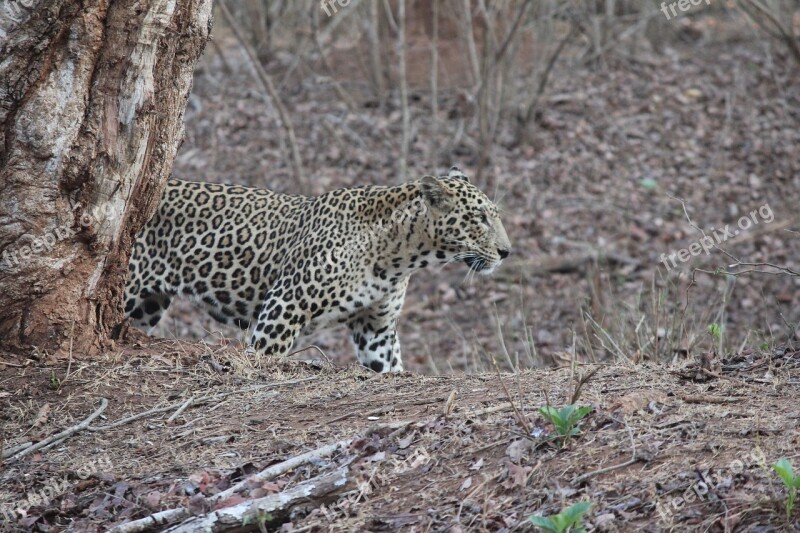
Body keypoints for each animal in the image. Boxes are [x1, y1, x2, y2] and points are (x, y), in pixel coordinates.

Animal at [125, 165, 512, 370]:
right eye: (479, 218)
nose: (506, 251)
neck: (399, 257)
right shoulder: (283, 309)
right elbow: (262, 356)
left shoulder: (377, 328)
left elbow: (389, 366)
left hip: (147, 306)